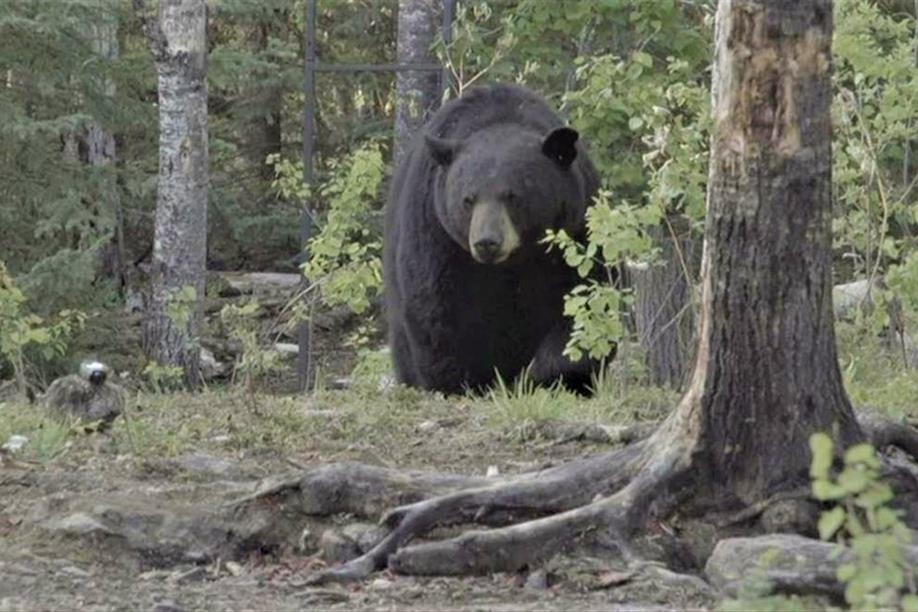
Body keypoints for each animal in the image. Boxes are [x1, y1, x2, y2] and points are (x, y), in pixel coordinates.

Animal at [384, 83, 603, 395]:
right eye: (468, 199)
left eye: (513, 196)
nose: (487, 242)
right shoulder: (436, 231)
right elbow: (435, 307)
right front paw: (462, 380)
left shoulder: (575, 226)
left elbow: (583, 299)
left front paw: (548, 374)